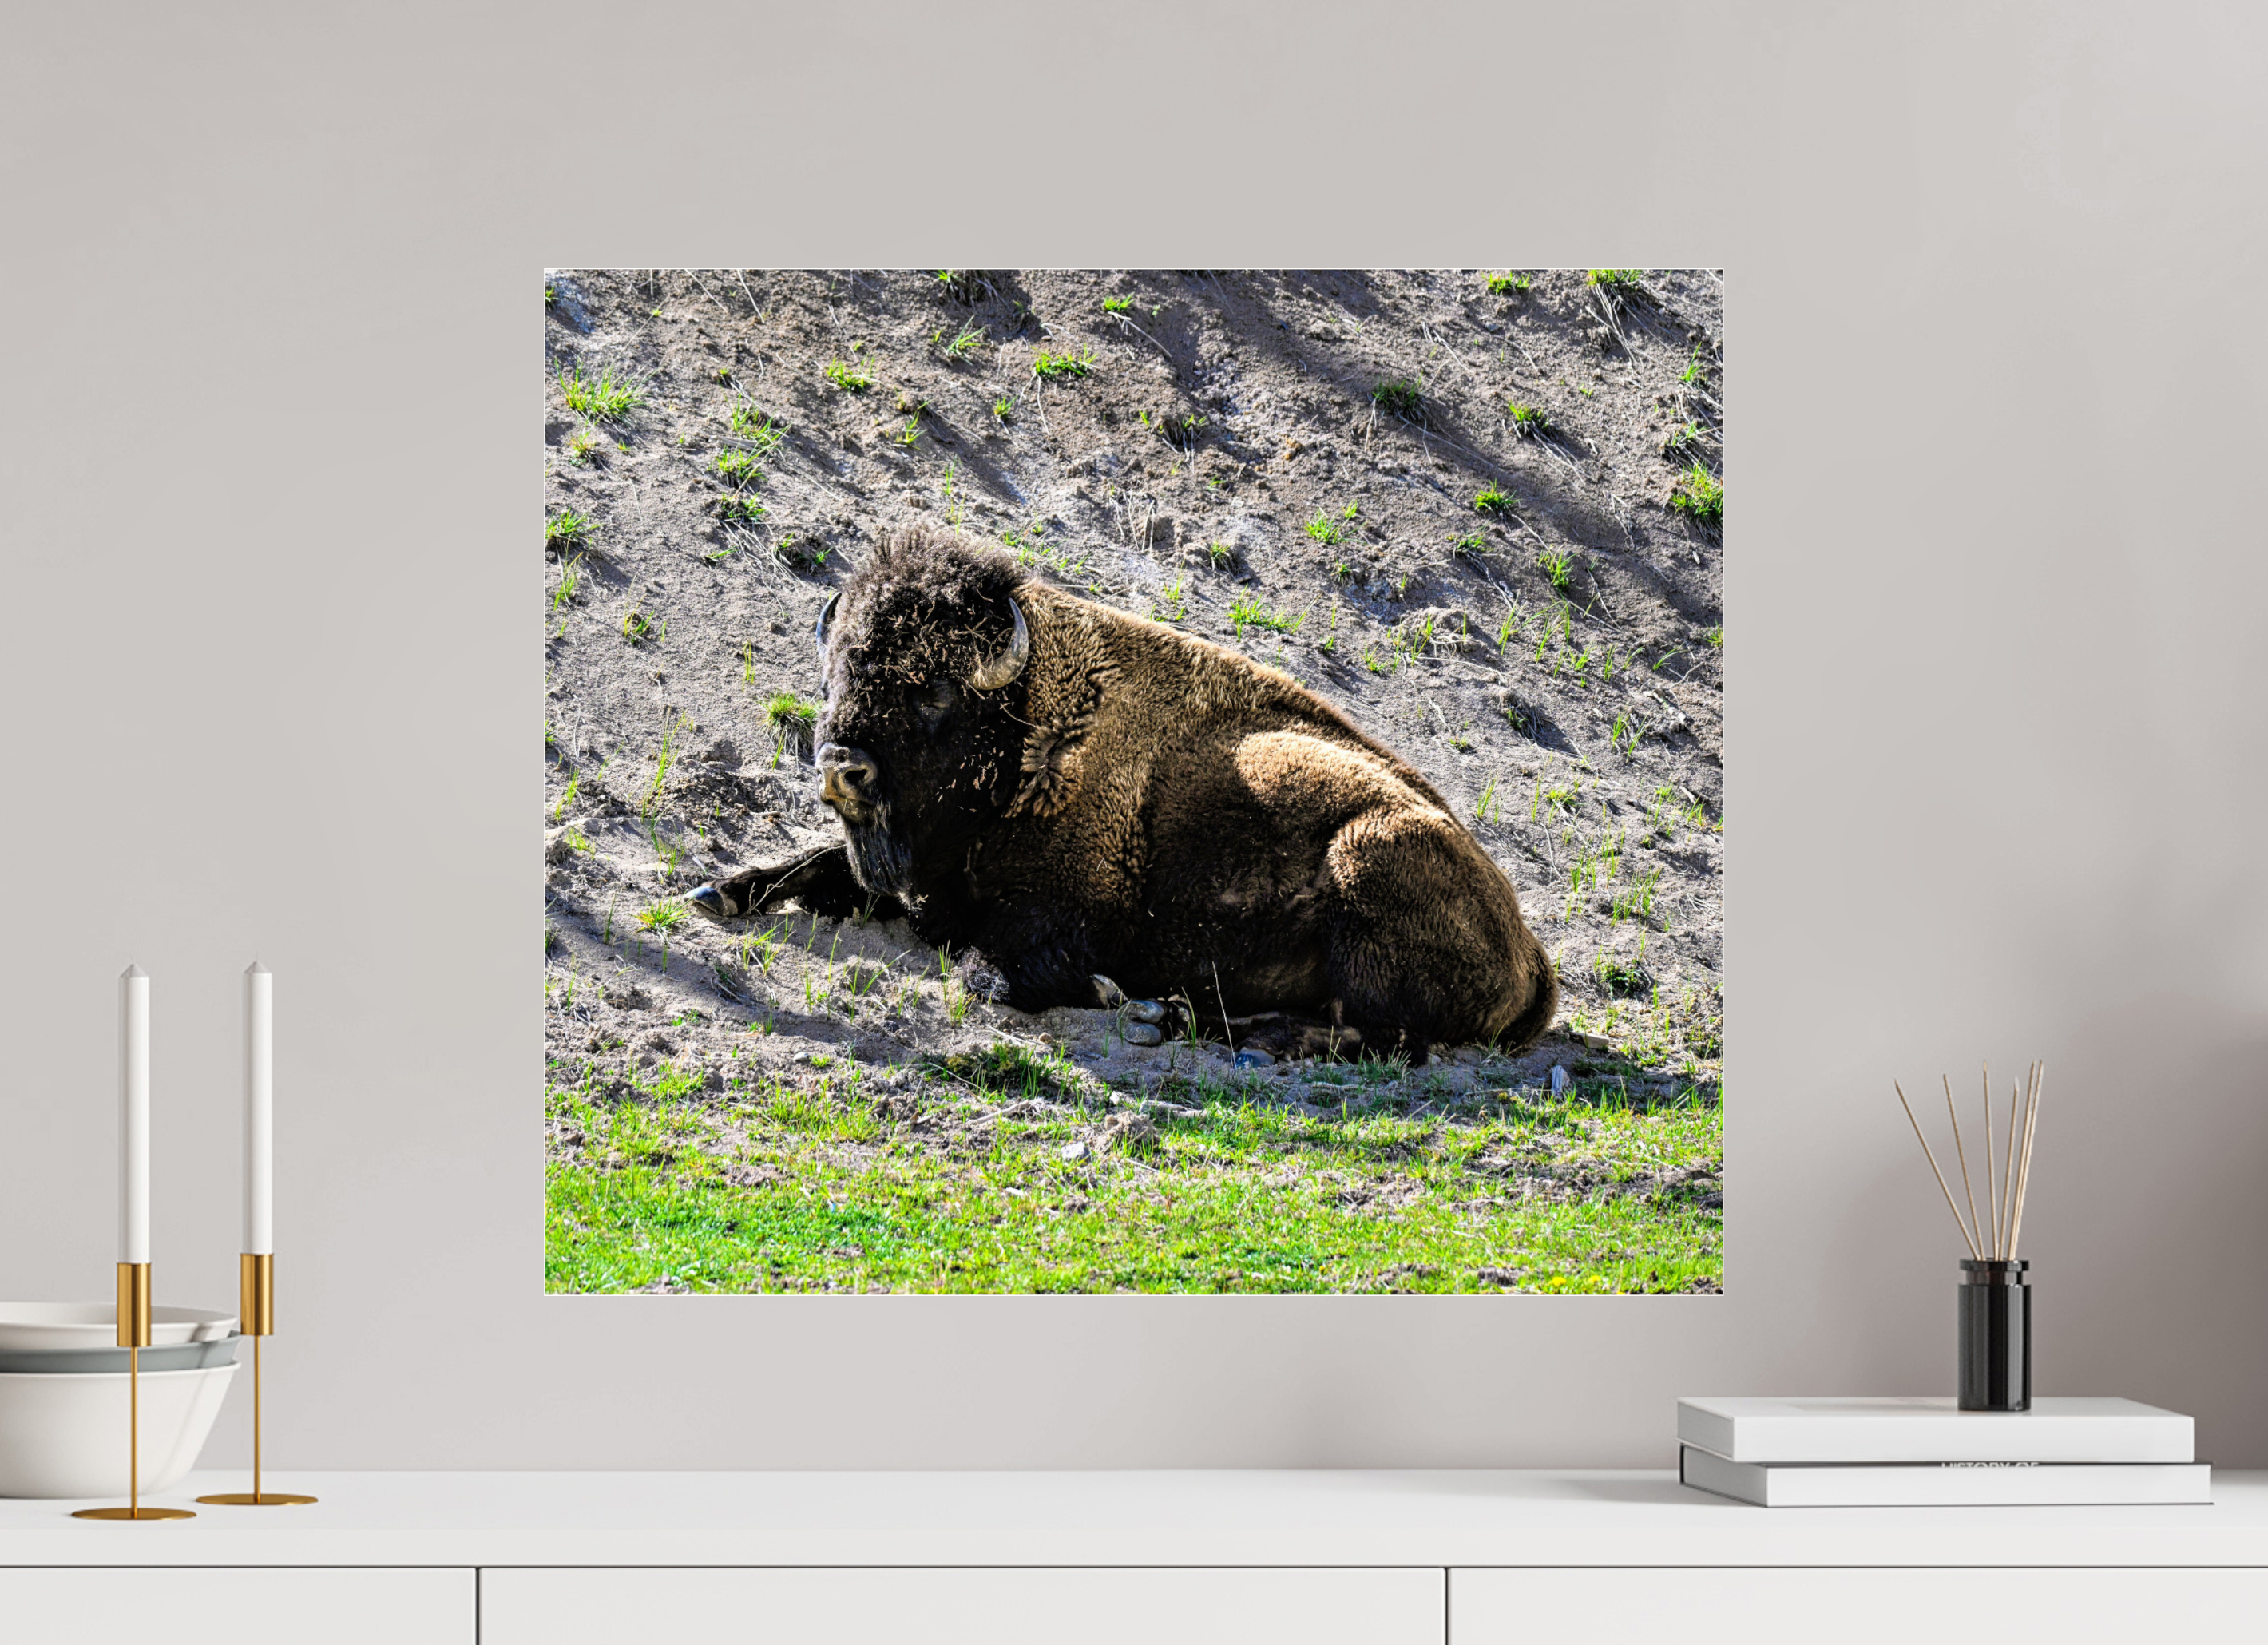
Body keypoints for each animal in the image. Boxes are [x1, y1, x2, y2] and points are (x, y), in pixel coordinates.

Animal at [690, 526, 1557, 1063]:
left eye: (933, 689)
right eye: (831, 675)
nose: (841, 764)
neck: (1027, 731)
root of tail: (1532, 953)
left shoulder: (1055, 922)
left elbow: (996, 965)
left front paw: (1102, 993)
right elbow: (816, 865)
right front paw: (718, 890)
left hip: (1363, 858)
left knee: (1382, 1037)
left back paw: (1220, 1030)